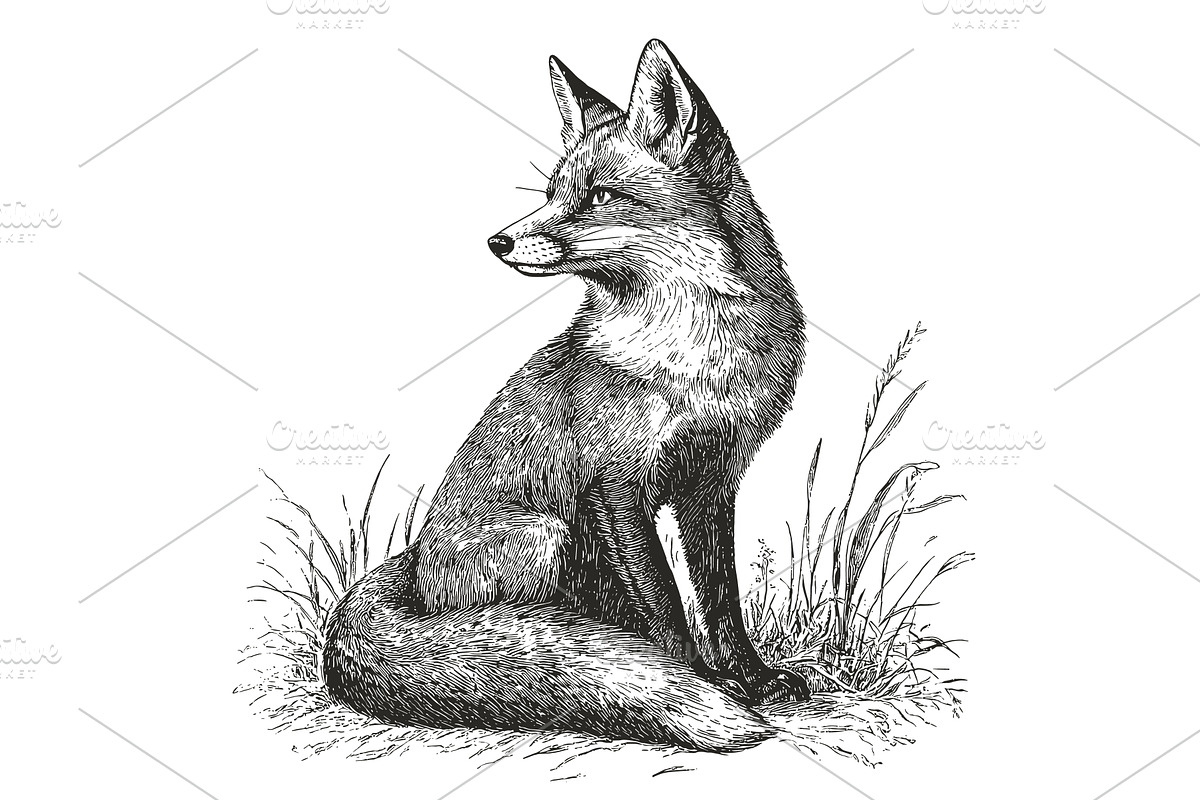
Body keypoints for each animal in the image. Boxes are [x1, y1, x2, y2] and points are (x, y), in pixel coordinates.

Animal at [322, 39, 808, 752]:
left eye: (600, 196)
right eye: (552, 193)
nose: (497, 240)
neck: (692, 359)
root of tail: (413, 564)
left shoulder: (711, 487)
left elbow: (722, 600)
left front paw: (750, 675)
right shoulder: (612, 486)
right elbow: (665, 611)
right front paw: (701, 684)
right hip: (554, 534)